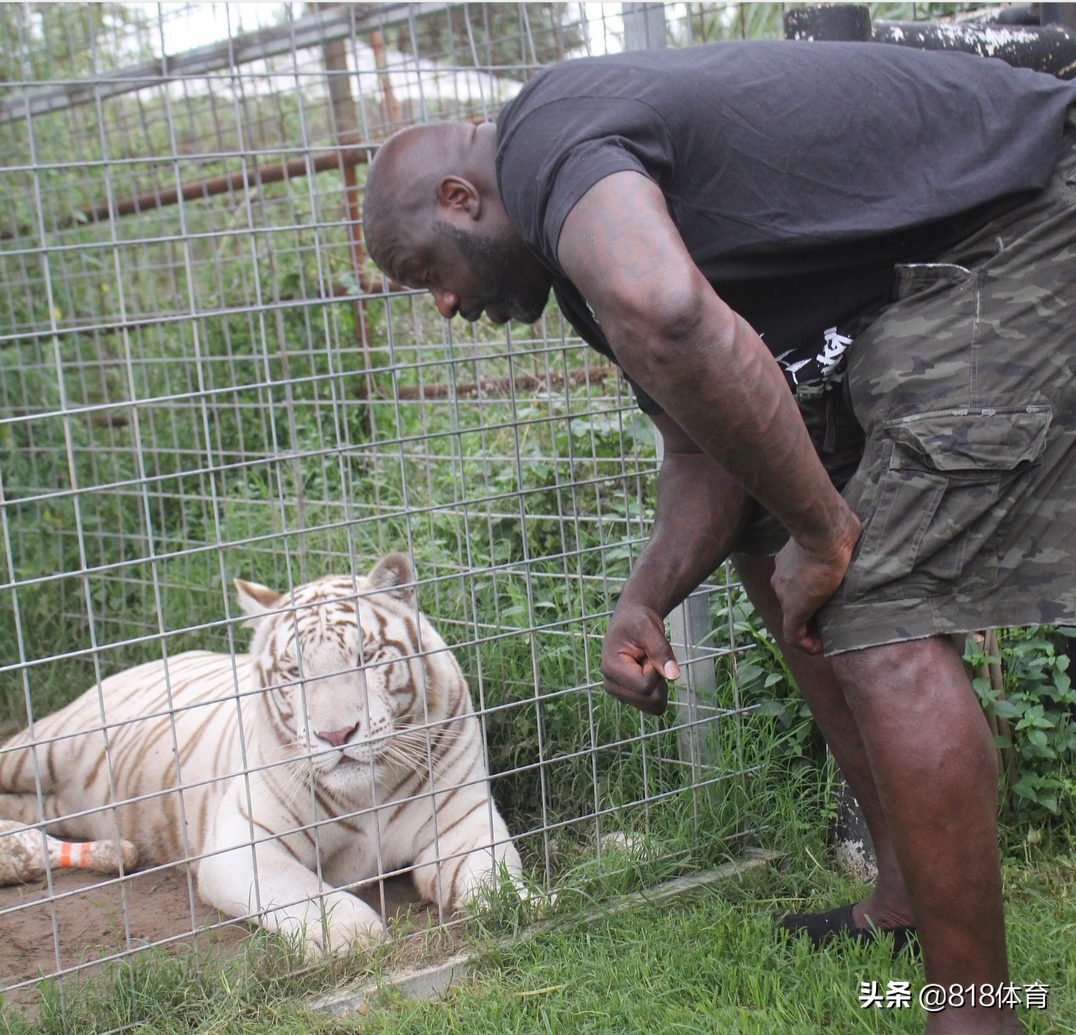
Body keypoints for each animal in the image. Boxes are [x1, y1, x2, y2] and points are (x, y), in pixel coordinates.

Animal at [0, 555, 522, 951]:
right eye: (293, 672)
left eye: (366, 658)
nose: (336, 734)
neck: (368, 793)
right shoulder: (245, 843)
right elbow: (312, 896)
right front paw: (356, 936)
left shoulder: (463, 822)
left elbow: (497, 875)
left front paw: (525, 906)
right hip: (43, 748)